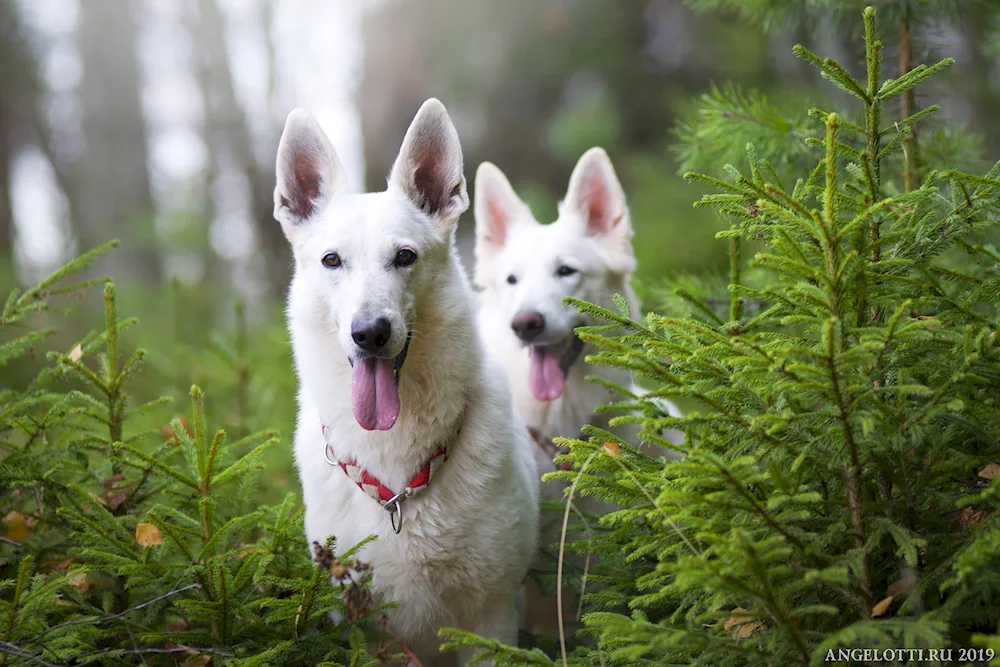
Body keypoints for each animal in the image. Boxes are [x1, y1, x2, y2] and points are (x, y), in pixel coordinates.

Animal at [274, 99, 540, 667]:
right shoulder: (366, 624)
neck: (398, 479)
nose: (370, 332)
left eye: (405, 257)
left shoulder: (492, 618)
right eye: (332, 260)